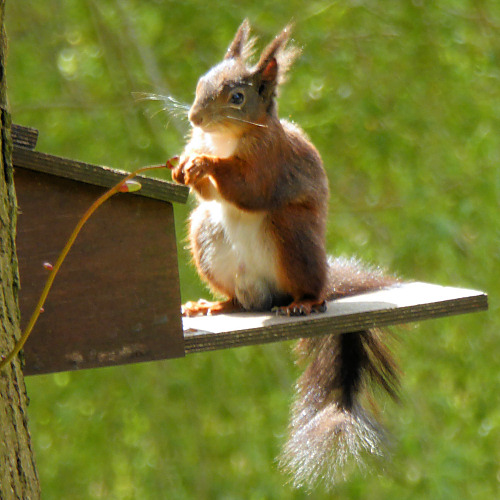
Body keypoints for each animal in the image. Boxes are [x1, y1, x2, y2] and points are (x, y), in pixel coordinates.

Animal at [174, 19, 400, 488]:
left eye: (237, 98)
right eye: (201, 83)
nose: (194, 118)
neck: (224, 139)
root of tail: (265, 294)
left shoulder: (269, 162)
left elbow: (246, 188)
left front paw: (204, 164)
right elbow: (206, 192)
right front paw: (185, 164)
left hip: (290, 236)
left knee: (305, 287)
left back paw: (304, 304)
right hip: (207, 235)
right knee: (237, 298)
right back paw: (213, 304)